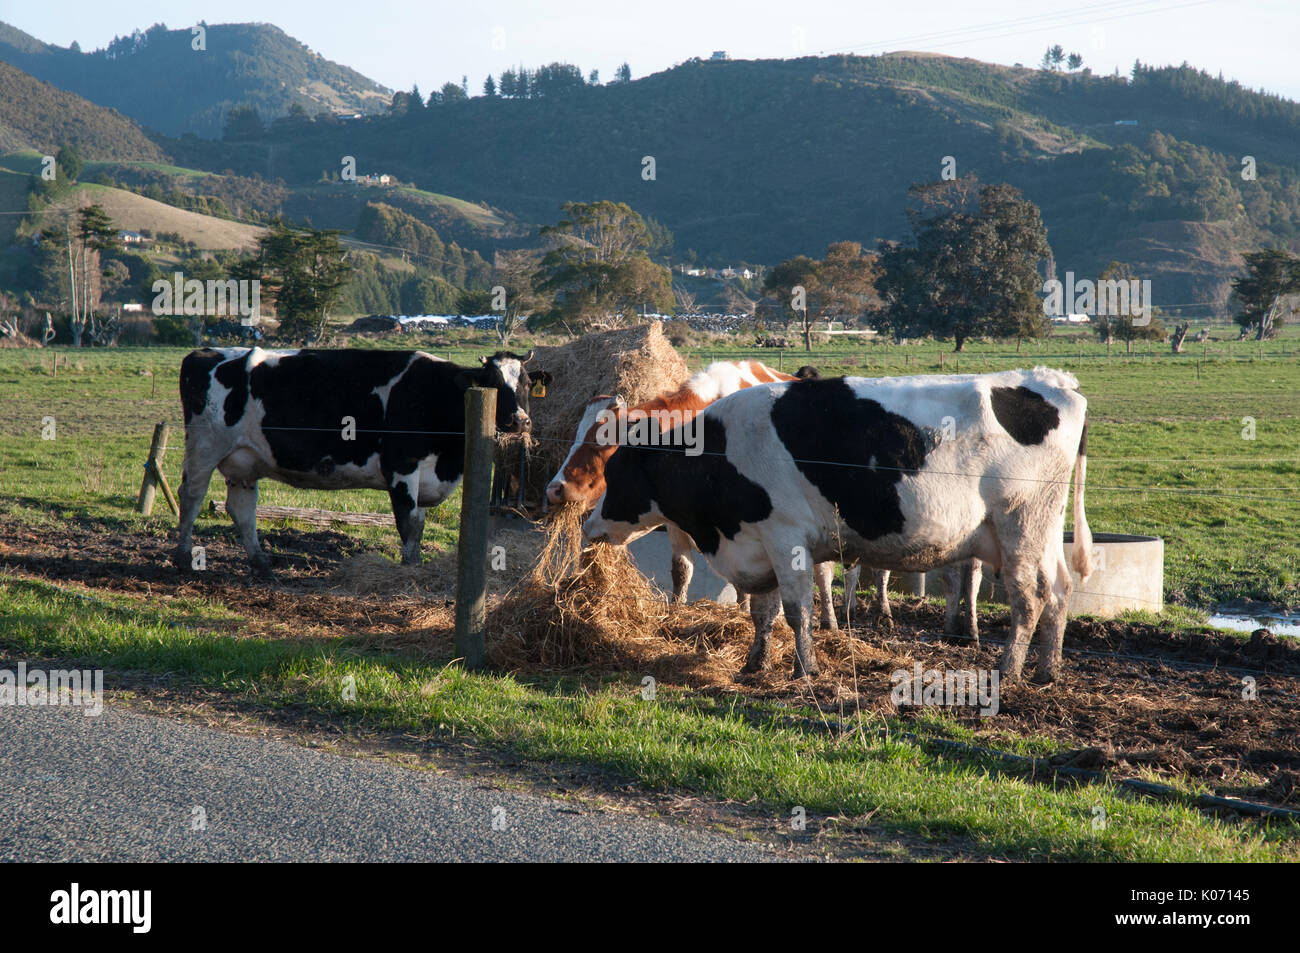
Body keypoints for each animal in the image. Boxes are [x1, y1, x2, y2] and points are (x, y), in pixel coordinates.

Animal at [174, 347, 550, 572]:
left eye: (526, 384)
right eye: (494, 385)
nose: (521, 422)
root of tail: (205, 351)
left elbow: (419, 526)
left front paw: (415, 564)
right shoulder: (401, 468)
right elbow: (408, 524)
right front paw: (407, 570)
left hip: (244, 460)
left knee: (242, 509)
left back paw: (261, 561)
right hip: (204, 446)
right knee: (191, 497)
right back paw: (184, 557)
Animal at [544, 360, 840, 629]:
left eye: (600, 443)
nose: (554, 489)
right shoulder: (674, 518)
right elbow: (681, 569)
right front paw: (677, 610)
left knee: (823, 571)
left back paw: (830, 621)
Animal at [583, 368, 1092, 683]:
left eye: (615, 474)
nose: (588, 526)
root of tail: (1057, 383)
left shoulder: (785, 535)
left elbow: (796, 611)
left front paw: (804, 669)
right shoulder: (759, 542)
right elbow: (763, 612)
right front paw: (754, 665)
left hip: (1019, 524)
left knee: (1029, 599)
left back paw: (1009, 671)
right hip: (1044, 529)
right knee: (1060, 590)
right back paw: (1047, 671)